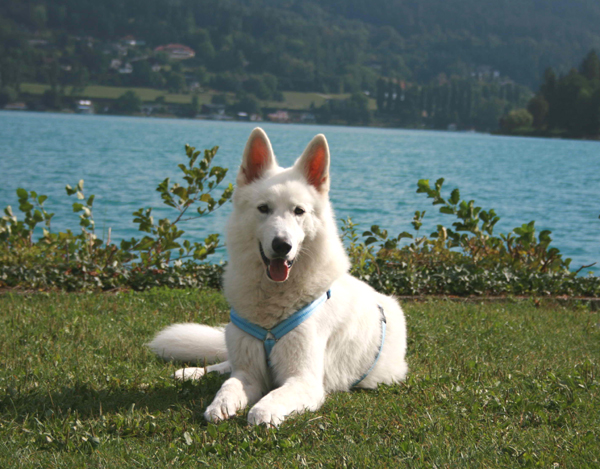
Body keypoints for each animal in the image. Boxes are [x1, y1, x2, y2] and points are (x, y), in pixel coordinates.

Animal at [149, 128, 408, 426]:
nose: (282, 245)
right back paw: (193, 372)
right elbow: (229, 385)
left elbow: (268, 401)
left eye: (299, 211)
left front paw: (263, 413)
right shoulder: (248, 373)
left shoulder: (304, 380)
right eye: (264, 209)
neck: (273, 302)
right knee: (225, 364)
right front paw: (219, 404)